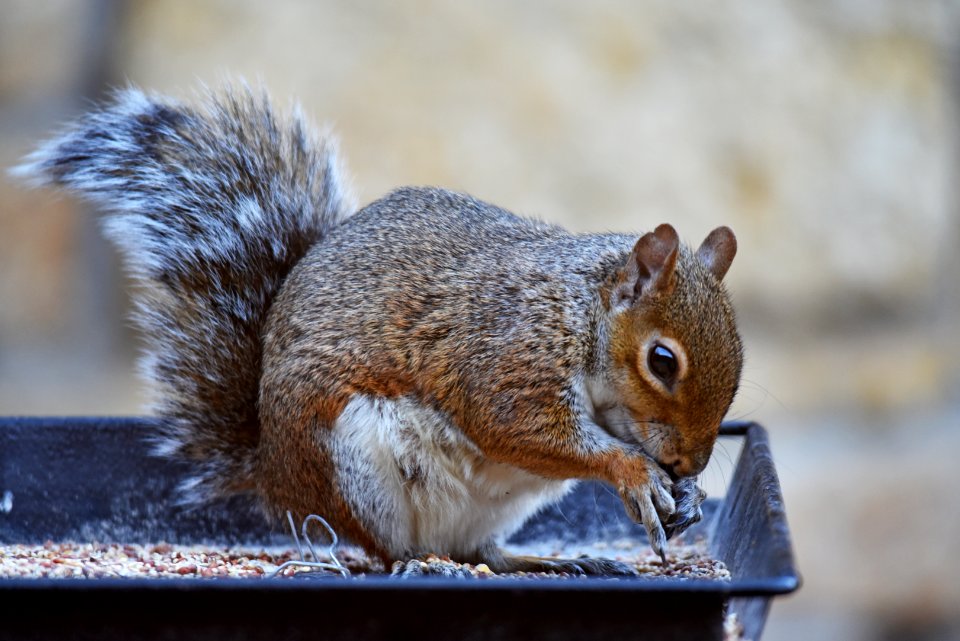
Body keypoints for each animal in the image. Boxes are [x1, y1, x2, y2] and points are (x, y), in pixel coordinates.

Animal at [18, 85, 748, 576]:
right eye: (662, 360)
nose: (690, 462)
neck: (581, 312)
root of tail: (274, 473)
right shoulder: (508, 349)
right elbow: (515, 424)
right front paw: (634, 471)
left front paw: (687, 494)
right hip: (353, 466)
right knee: (395, 550)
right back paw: (423, 563)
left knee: (482, 549)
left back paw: (545, 561)